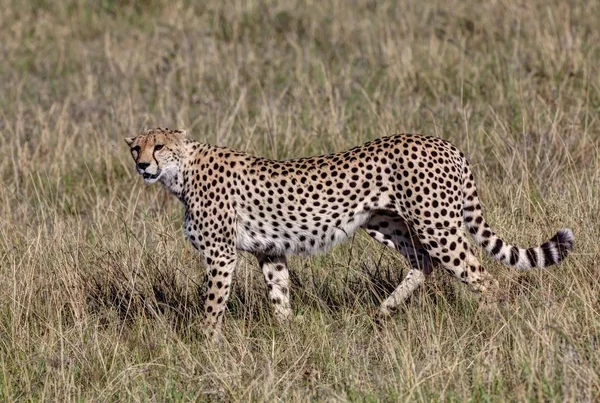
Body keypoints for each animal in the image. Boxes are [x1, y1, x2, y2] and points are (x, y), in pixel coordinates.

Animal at [124, 128, 576, 340]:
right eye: (136, 148)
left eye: (159, 146)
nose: (143, 165)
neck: (181, 173)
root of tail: (443, 142)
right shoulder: (269, 251)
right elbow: (279, 295)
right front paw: (289, 335)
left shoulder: (221, 254)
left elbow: (213, 305)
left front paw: (206, 345)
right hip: (387, 223)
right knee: (423, 263)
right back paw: (384, 310)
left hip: (436, 224)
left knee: (481, 274)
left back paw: (488, 321)